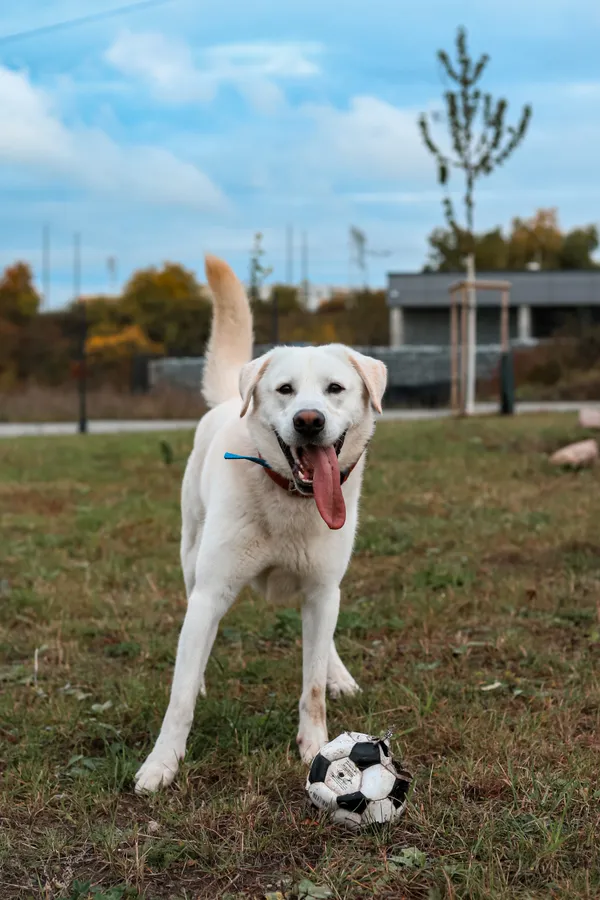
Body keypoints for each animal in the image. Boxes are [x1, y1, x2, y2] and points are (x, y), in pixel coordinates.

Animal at [134, 255, 386, 796]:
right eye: (285, 390)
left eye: (335, 389)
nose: (309, 420)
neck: (290, 498)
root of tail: (228, 400)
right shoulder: (210, 592)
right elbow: (179, 696)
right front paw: (161, 764)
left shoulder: (322, 589)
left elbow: (311, 686)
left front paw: (317, 747)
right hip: (191, 556)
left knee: (323, 642)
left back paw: (338, 674)